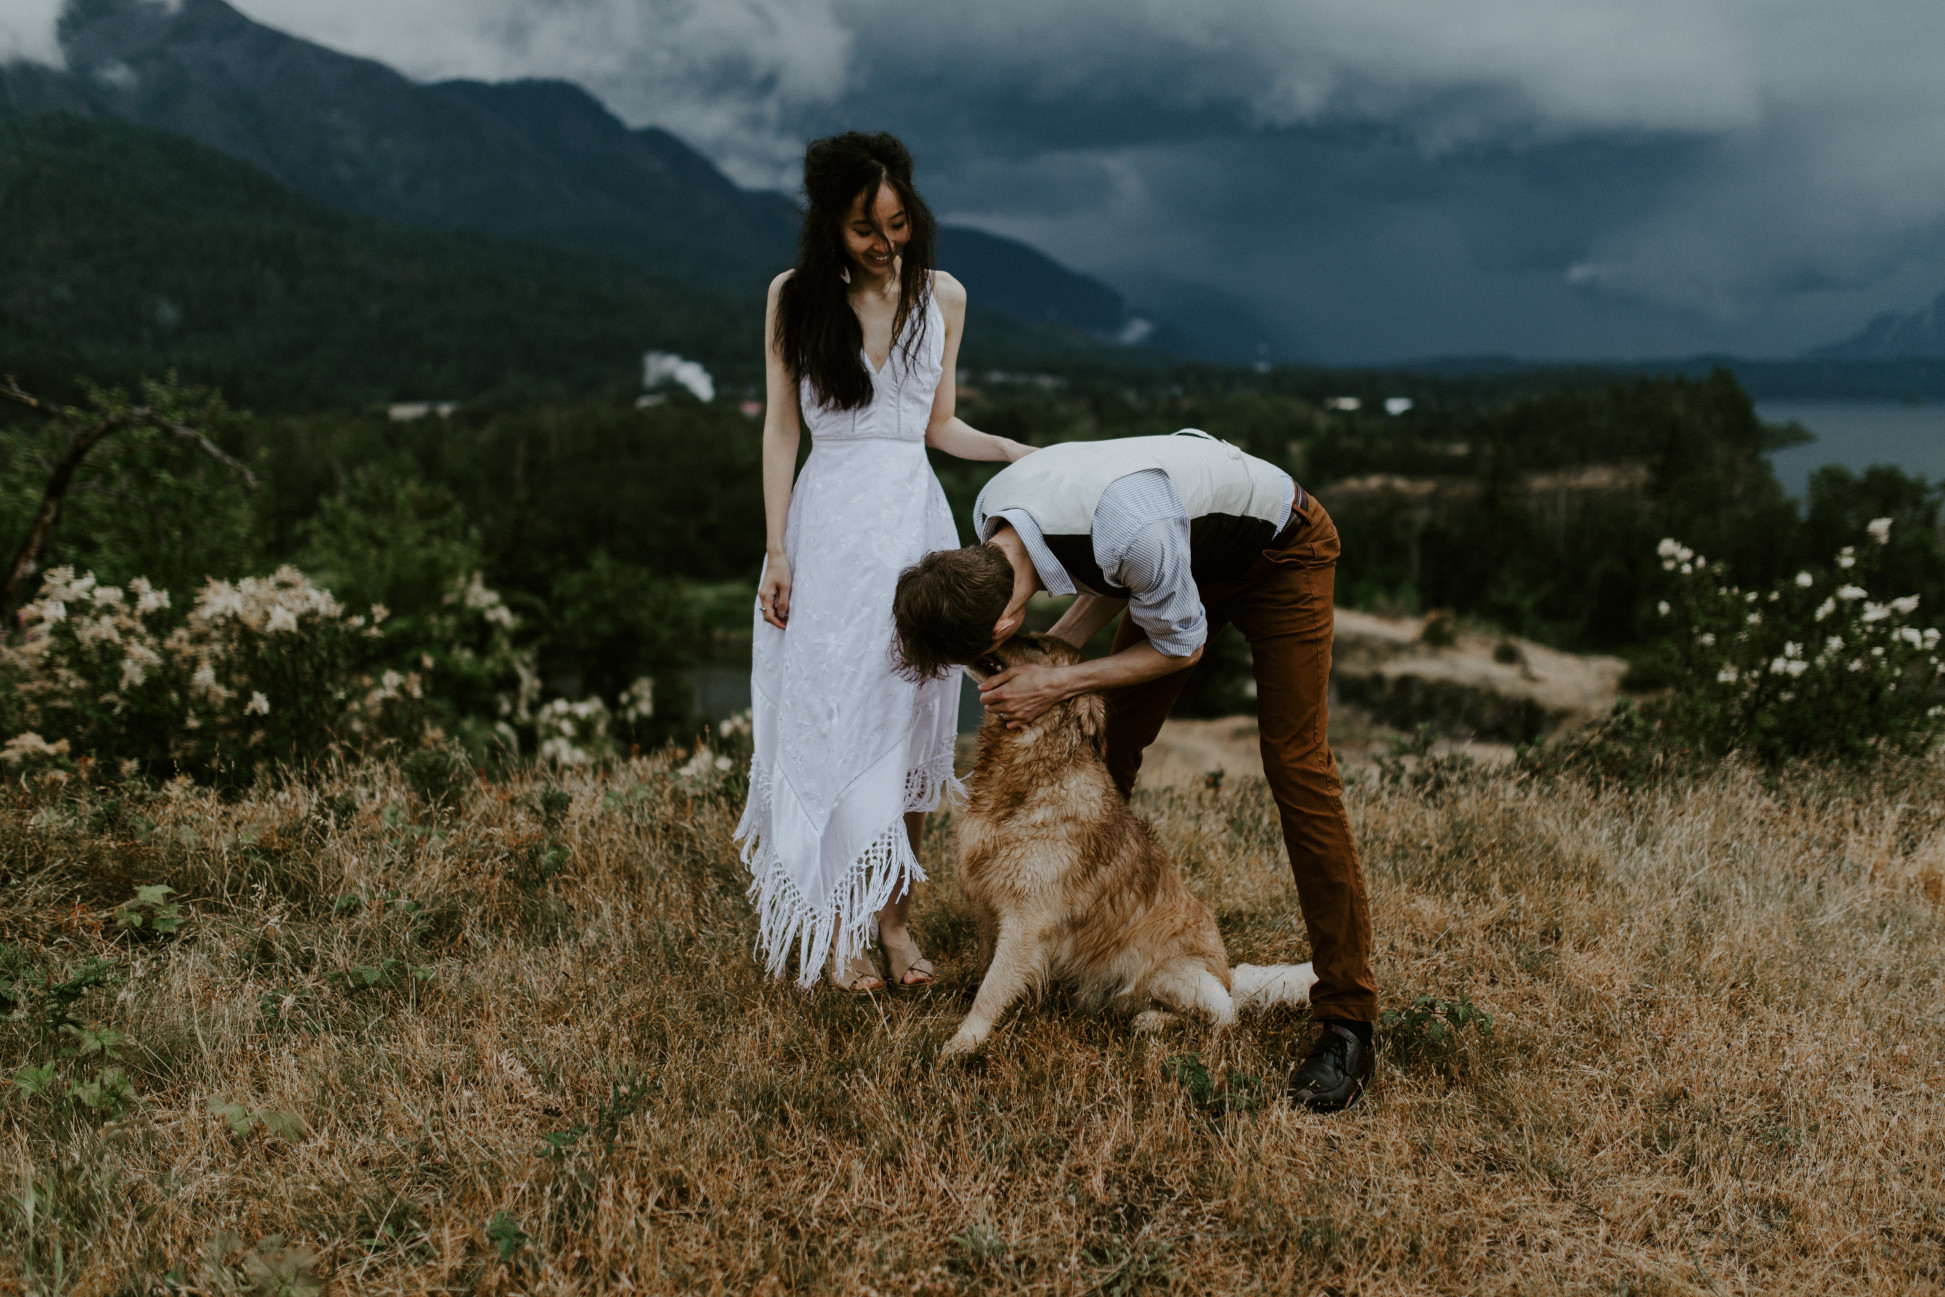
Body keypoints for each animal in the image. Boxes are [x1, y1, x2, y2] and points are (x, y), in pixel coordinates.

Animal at [945, 633, 1322, 1057]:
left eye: (1038, 645)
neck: (1032, 767)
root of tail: (1229, 975)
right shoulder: (989, 908)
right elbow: (986, 969)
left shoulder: (1026, 919)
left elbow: (992, 988)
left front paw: (964, 1042)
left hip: (1164, 969)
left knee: (1222, 1016)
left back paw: (1152, 1021)